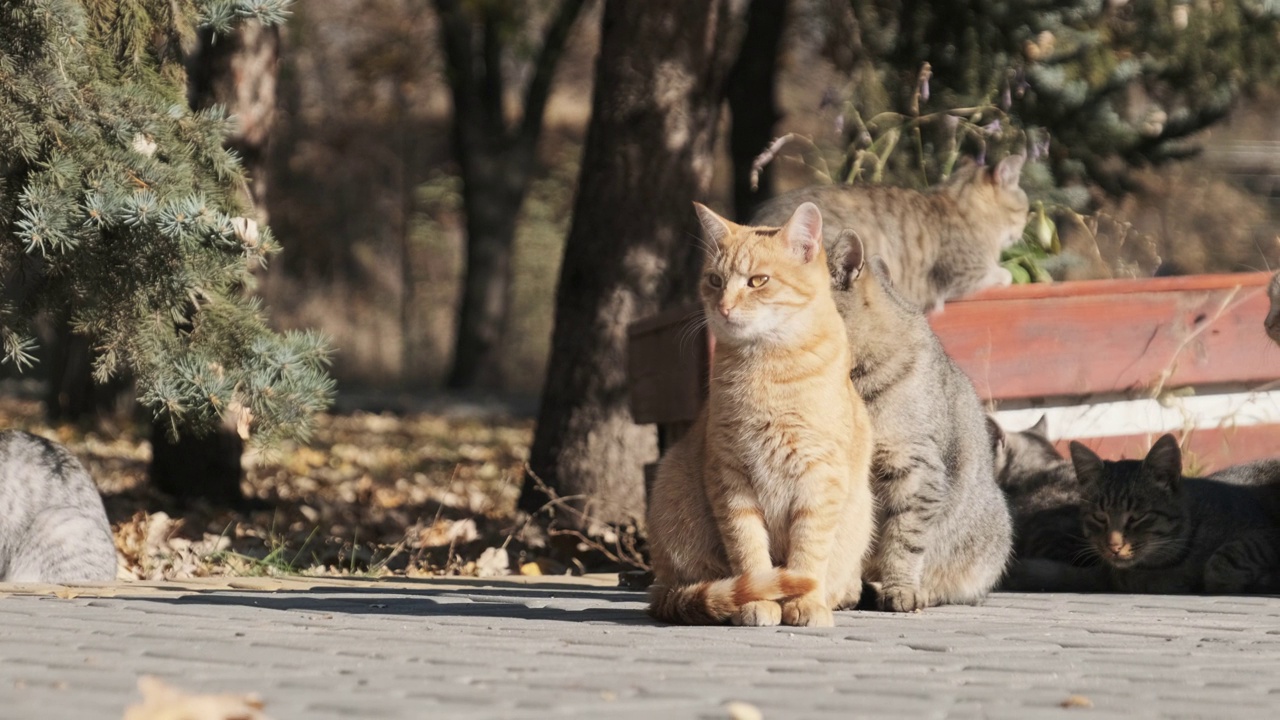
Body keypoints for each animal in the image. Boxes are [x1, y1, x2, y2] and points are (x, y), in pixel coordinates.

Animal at [645, 199, 875, 622]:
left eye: (757, 281)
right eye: (715, 280)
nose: (723, 307)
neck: (766, 367)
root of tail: (660, 592)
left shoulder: (820, 477)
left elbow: (807, 553)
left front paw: (804, 602)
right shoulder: (729, 476)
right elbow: (749, 552)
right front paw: (757, 601)